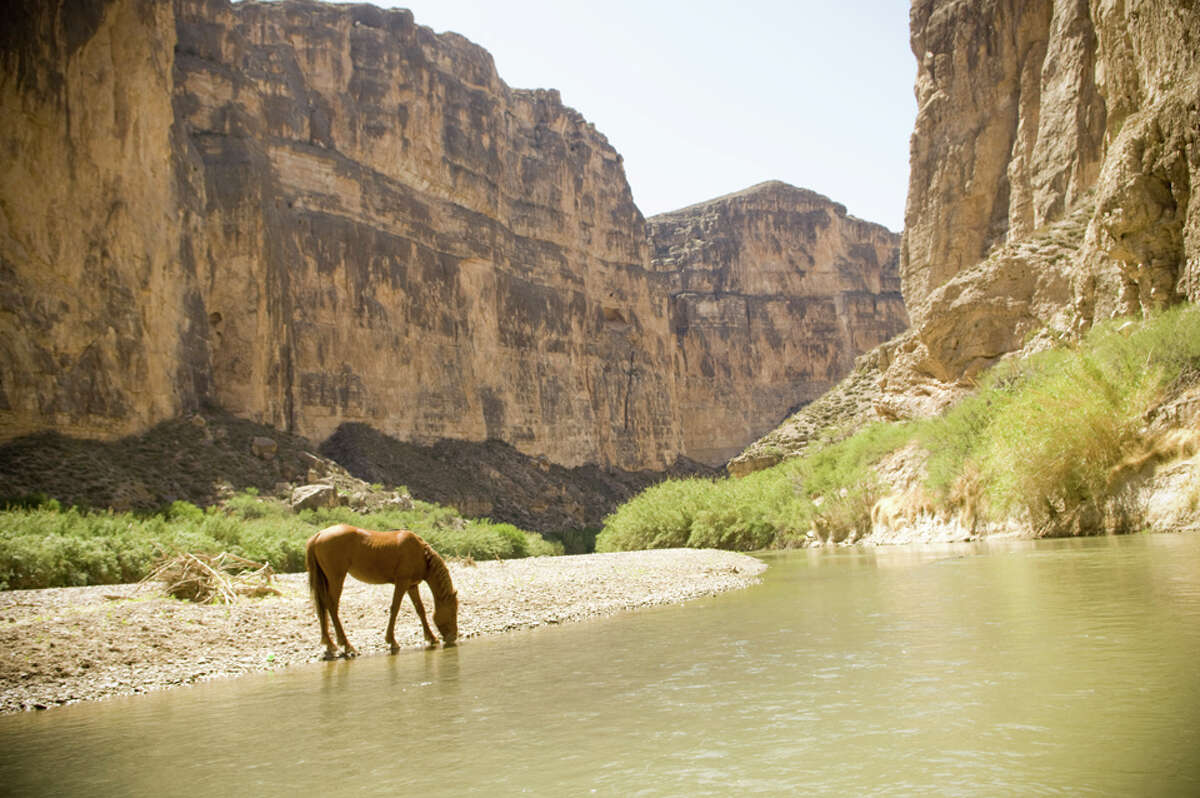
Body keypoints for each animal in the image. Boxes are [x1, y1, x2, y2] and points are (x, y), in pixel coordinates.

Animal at [304, 520, 458, 657]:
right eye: (453, 611)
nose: (454, 636)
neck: (421, 554)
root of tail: (319, 535)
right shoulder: (402, 583)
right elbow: (395, 608)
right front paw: (392, 641)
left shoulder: (412, 586)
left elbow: (420, 609)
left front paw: (431, 637)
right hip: (336, 578)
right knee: (332, 606)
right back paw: (347, 646)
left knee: (323, 606)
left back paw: (330, 644)